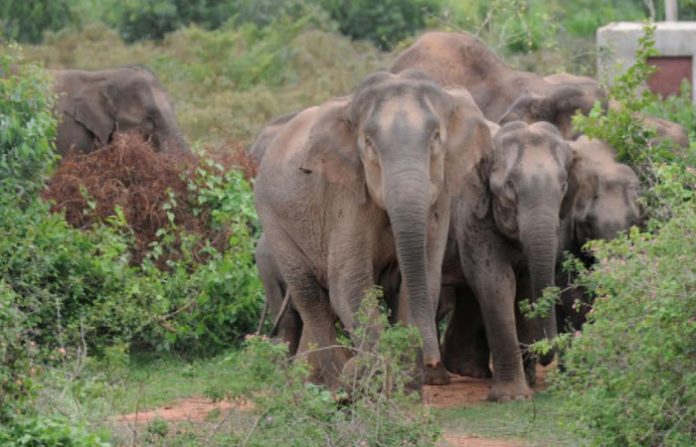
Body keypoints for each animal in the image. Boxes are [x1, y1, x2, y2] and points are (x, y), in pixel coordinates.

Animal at [253, 71, 492, 390]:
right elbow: (350, 285)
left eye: (436, 139)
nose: (432, 360)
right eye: (368, 143)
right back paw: (333, 384)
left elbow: (424, 280)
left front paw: (407, 388)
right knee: (310, 296)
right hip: (274, 221)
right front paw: (376, 377)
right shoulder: (346, 196)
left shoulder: (440, 197)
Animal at [441, 120, 576, 401]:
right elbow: (497, 282)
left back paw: (468, 371)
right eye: (511, 185)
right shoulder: (471, 210)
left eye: (563, 185)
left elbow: (526, 285)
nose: (546, 357)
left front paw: (530, 380)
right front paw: (513, 397)